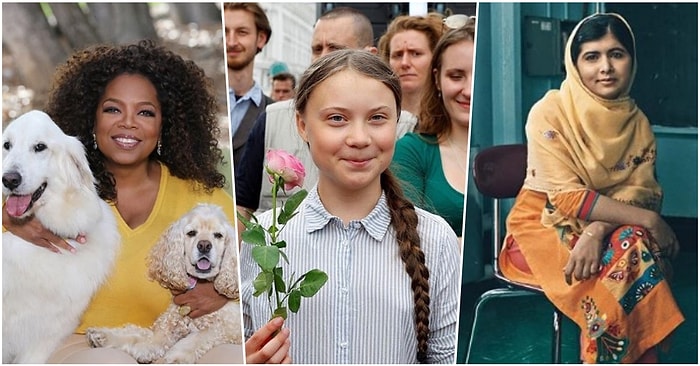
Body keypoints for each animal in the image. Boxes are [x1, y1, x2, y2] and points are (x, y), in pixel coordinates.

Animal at [86, 203, 243, 364]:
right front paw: (103, 335)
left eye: (218, 235)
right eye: (191, 233)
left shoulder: (228, 329)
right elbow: (137, 336)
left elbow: (198, 337)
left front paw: (176, 358)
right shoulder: (163, 332)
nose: (204, 245)